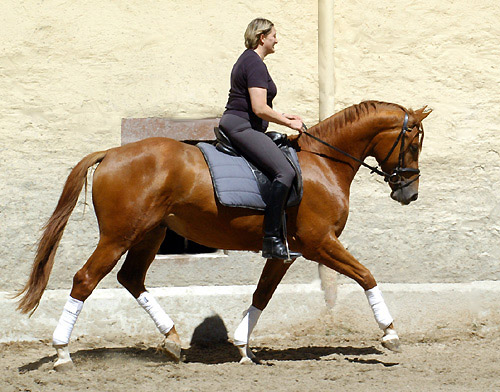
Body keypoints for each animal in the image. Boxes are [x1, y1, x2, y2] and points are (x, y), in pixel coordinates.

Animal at [15, 100, 430, 368]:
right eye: (413, 142)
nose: (409, 193)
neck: (322, 164)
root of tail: (111, 154)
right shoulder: (320, 243)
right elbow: (366, 275)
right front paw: (390, 334)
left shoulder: (285, 252)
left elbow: (262, 294)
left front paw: (244, 348)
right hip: (119, 236)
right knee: (85, 279)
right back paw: (62, 353)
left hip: (150, 234)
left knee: (131, 278)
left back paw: (172, 340)